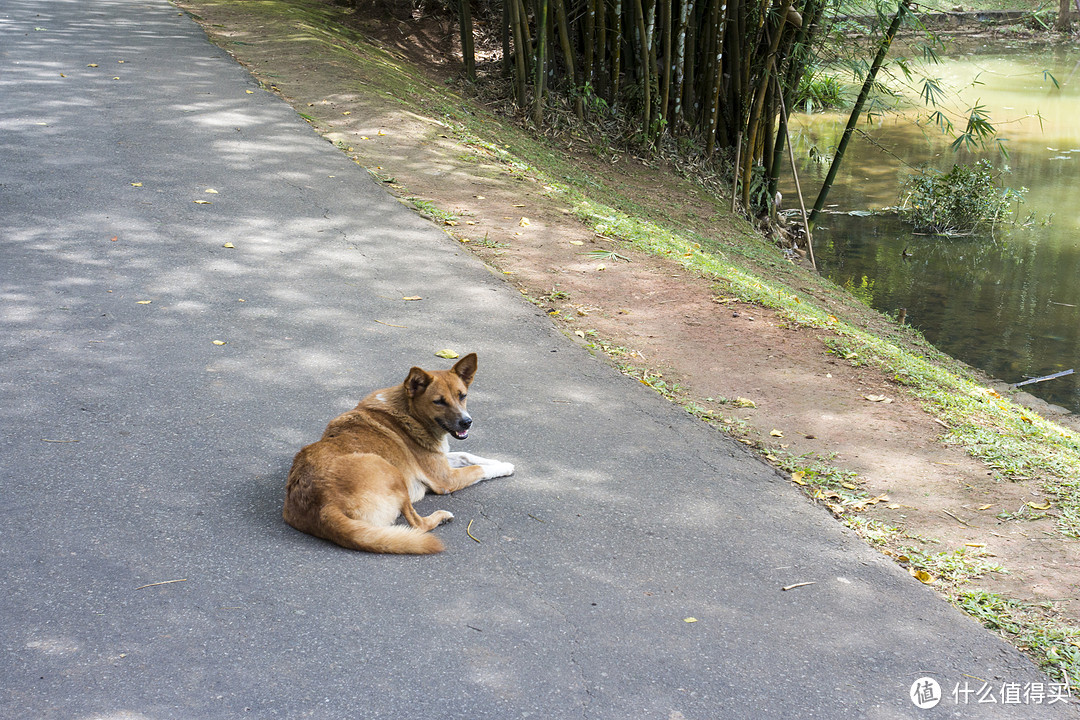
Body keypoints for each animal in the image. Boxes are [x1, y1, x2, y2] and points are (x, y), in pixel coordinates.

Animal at [280, 351, 511, 557]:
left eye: (462, 396)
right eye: (439, 401)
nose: (467, 422)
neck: (410, 413)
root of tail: (324, 506)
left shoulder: (442, 460)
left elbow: (467, 455)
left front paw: (497, 460)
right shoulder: (446, 479)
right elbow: (477, 469)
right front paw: (506, 467)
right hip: (392, 472)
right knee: (417, 524)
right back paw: (441, 516)